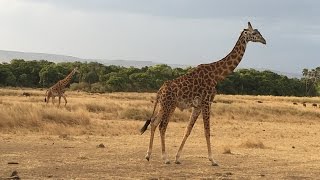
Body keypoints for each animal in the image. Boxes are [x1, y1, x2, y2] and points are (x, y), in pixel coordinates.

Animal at [141, 21, 268, 165]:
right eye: (254, 33)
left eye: (259, 32)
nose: (264, 41)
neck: (217, 75)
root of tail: (159, 91)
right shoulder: (207, 101)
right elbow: (207, 131)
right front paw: (212, 160)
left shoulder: (198, 105)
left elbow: (188, 130)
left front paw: (178, 157)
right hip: (169, 105)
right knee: (162, 126)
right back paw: (165, 158)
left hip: (164, 105)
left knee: (154, 122)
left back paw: (148, 155)